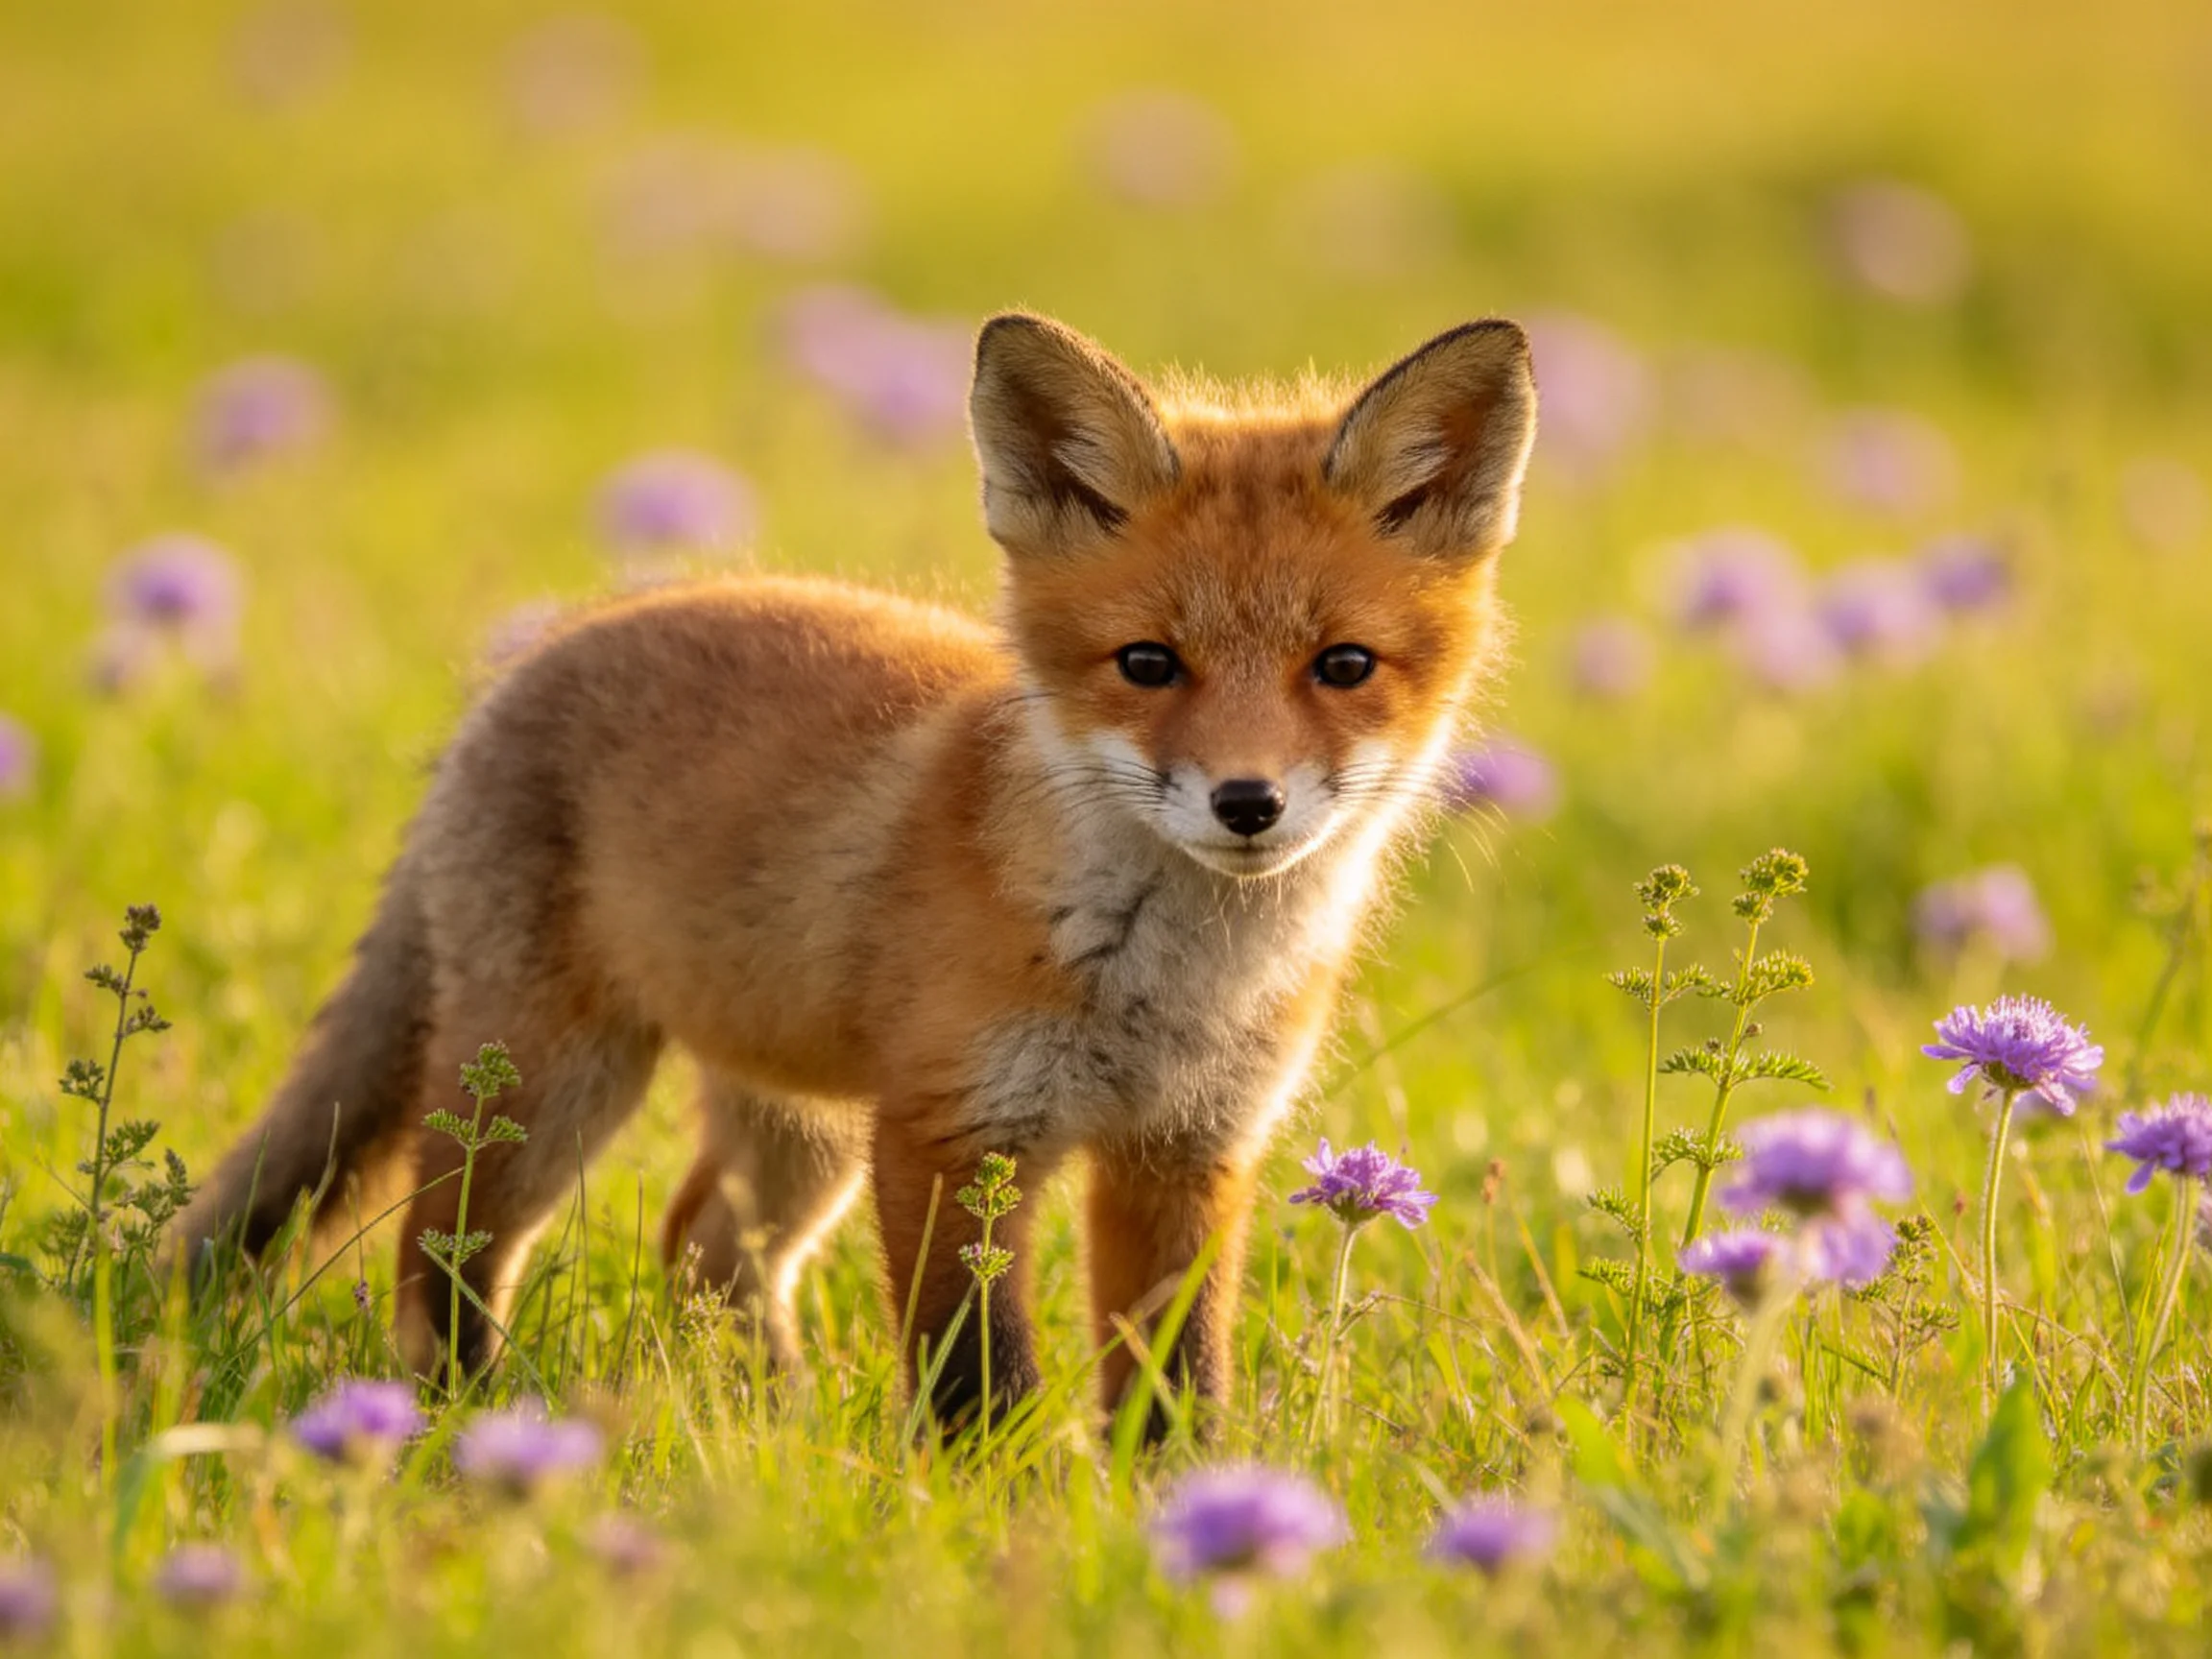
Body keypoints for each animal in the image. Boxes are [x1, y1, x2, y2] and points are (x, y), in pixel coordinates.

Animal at [175, 311, 1538, 1430]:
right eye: (1148, 665)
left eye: (1343, 666)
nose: (1246, 804)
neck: (1166, 981)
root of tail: (532, 657)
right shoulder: (949, 1134)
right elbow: (975, 1379)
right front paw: (998, 1517)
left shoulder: (1186, 1154)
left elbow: (1174, 1383)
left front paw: (1182, 1511)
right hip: (553, 1084)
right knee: (440, 1249)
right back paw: (462, 1420)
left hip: (799, 1124)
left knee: (706, 1246)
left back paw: (770, 1421)